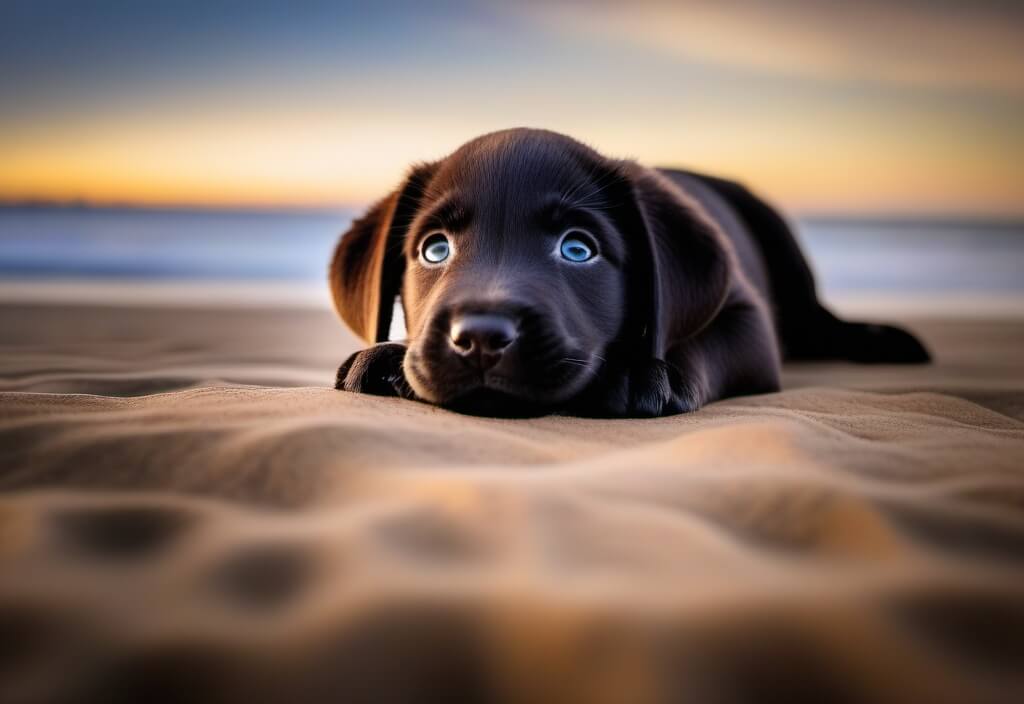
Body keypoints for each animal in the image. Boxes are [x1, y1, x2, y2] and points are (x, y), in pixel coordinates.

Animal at [329, 128, 929, 415]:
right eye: (435, 250)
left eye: (578, 249)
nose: (479, 338)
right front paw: (386, 356)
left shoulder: (748, 318)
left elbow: (696, 344)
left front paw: (641, 370)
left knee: (821, 323)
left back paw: (884, 340)